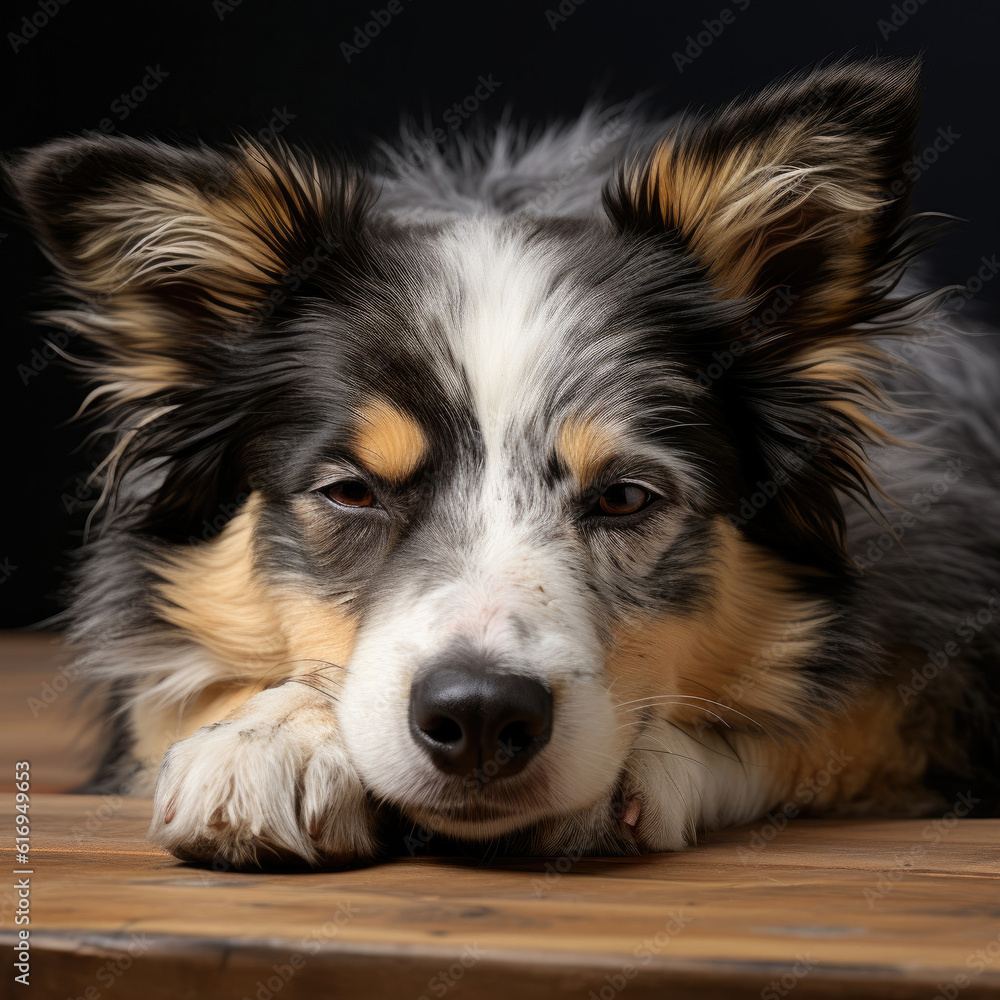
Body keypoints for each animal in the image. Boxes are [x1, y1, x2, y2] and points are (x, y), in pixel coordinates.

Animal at [3, 56, 996, 868]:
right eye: (351, 491)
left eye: (625, 497)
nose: (480, 716)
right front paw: (272, 739)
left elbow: (814, 724)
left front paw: (649, 766)